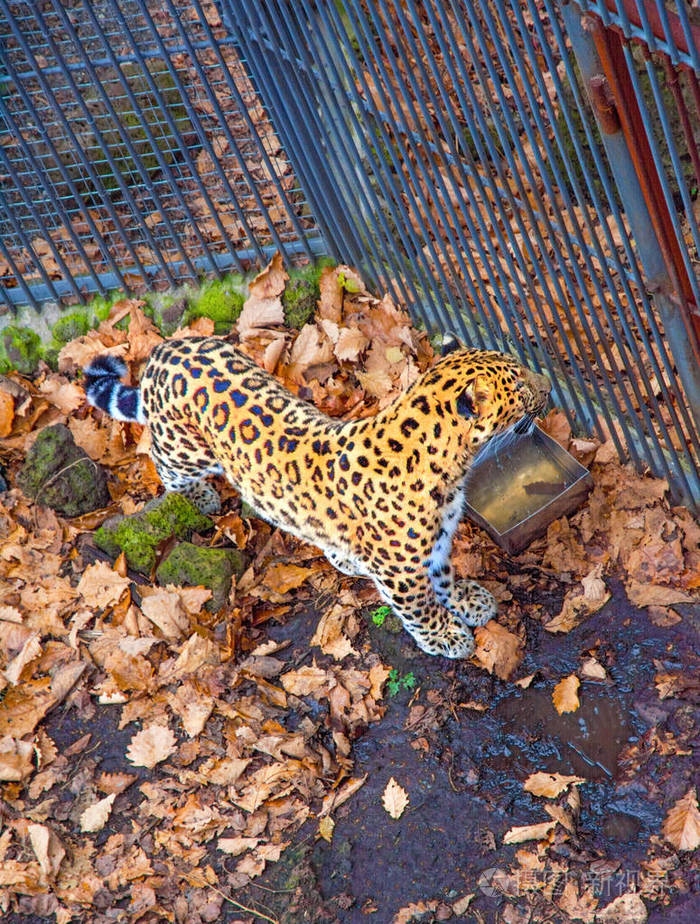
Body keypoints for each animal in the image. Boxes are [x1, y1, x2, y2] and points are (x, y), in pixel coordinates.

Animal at [85, 338, 548, 656]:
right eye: (520, 386)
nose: (547, 387)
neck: (451, 466)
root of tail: (166, 348)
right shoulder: (400, 570)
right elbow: (421, 606)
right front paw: (446, 635)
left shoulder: (432, 545)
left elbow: (443, 577)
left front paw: (467, 601)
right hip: (185, 450)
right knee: (164, 464)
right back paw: (198, 495)